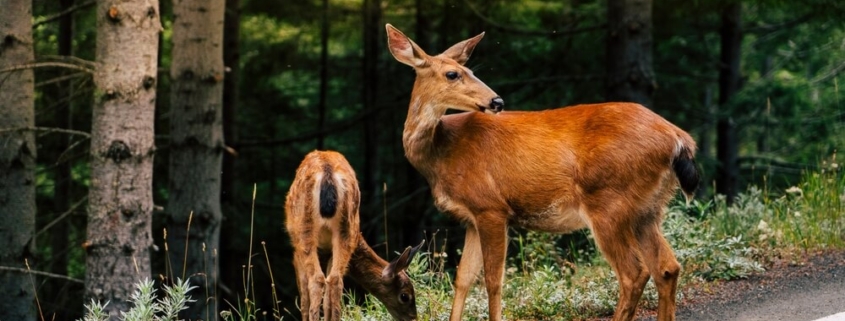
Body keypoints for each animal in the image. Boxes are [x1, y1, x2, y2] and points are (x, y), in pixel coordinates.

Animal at [286, 151, 428, 320]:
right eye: (405, 296)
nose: (413, 317)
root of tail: (328, 173)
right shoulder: (328, 251)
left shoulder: (297, 252)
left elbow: (305, 297)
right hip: (346, 228)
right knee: (335, 280)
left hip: (305, 230)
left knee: (318, 280)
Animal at [386, 24, 696, 320]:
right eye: (452, 74)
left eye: (470, 71)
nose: (497, 101)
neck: (441, 152)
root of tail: (679, 139)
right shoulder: (471, 217)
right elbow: (463, 278)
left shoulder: (491, 208)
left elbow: (493, 281)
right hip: (648, 208)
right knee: (667, 267)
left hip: (610, 202)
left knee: (634, 272)